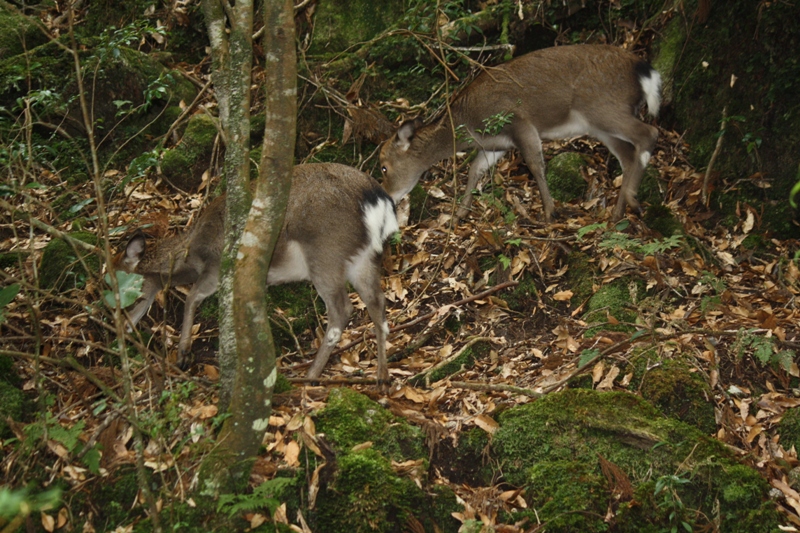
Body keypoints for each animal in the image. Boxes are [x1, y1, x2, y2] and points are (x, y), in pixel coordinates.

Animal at [111, 162, 398, 382]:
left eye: (120, 283)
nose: (119, 326)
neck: (191, 253)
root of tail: (379, 201)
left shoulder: (217, 265)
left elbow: (192, 297)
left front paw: (183, 354)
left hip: (325, 252)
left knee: (342, 310)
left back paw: (311, 375)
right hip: (364, 258)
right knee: (377, 303)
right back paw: (382, 377)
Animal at [380, 42, 664, 222]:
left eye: (383, 166)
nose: (389, 198)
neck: (468, 125)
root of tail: (645, 71)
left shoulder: (519, 121)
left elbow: (536, 165)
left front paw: (550, 213)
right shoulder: (498, 144)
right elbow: (475, 170)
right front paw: (460, 213)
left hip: (604, 108)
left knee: (649, 132)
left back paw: (632, 200)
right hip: (600, 125)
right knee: (628, 156)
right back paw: (617, 214)